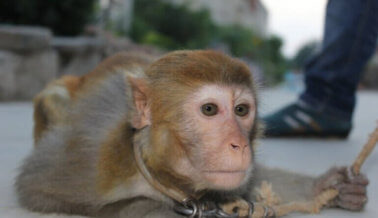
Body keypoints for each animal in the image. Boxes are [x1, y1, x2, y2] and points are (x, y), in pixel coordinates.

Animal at [15, 49, 370, 218]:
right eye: (210, 110)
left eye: (242, 110)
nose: (240, 145)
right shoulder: (93, 160)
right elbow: (35, 187)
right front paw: (156, 210)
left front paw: (328, 187)